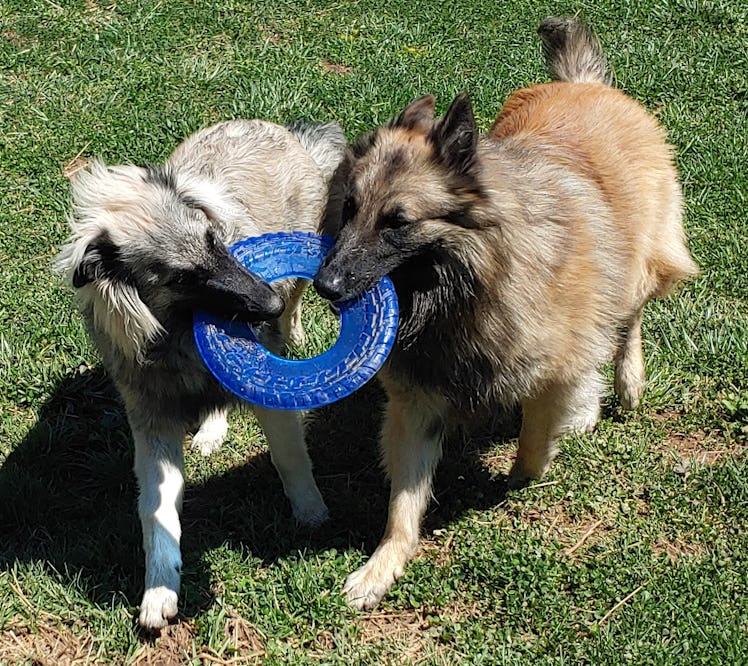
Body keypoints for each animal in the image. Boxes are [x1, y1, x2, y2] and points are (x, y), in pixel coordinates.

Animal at [56, 119, 348, 628]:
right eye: (181, 278)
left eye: (215, 241)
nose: (266, 307)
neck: (178, 338)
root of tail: (279, 129)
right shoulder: (153, 424)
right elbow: (157, 513)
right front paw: (160, 588)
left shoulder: (271, 400)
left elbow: (290, 457)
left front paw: (312, 515)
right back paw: (213, 426)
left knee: (296, 299)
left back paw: (293, 329)